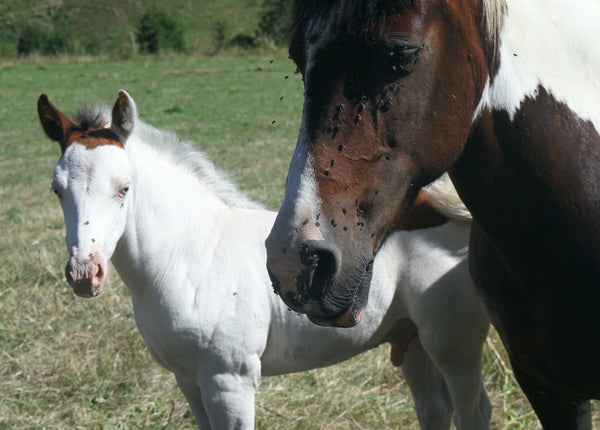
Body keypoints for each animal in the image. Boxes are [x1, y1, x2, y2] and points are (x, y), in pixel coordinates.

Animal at [37, 91, 490, 430]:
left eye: (124, 188)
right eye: (57, 189)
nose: (84, 273)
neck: (190, 257)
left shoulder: (229, 382)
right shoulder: (188, 380)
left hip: (453, 345)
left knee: (473, 410)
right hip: (410, 339)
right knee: (435, 409)